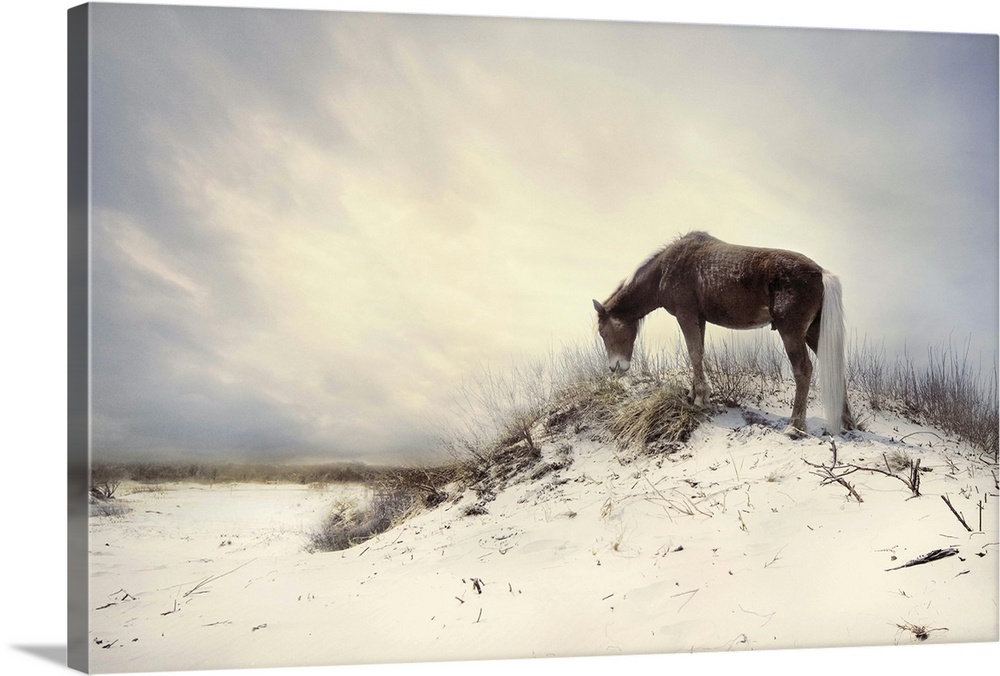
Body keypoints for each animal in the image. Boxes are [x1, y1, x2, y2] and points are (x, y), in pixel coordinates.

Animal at [588, 230, 856, 436]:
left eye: (603, 332)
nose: (615, 367)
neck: (666, 268)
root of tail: (821, 273)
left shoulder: (686, 315)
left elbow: (694, 352)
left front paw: (700, 397)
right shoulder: (699, 318)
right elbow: (699, 351)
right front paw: (694, 394)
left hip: (791, 332)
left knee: (803, 370)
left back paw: (795, 427)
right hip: (813, 332)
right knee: (834, 365)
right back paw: (847, 423)